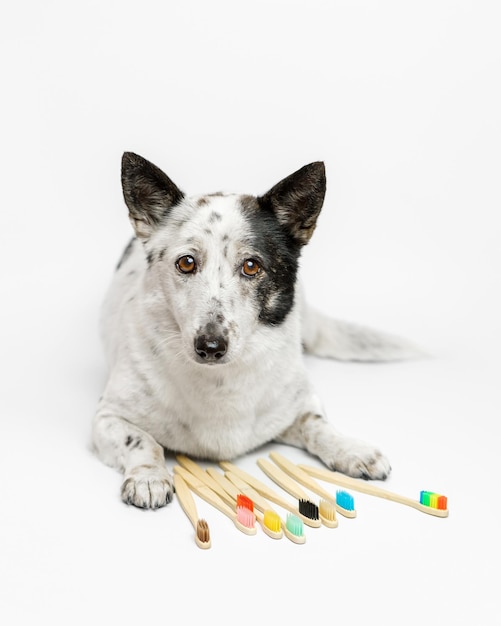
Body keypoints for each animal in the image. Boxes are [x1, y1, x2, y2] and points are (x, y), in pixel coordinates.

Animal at [92, 151, 420, 508]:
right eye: (186, 263)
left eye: (252, 266)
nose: (210, 346)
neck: (219, 383)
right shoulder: (107, 417)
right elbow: (142, 441)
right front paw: (149, 476)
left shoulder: (301, 405)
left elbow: (318, 425)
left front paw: (351, 449)